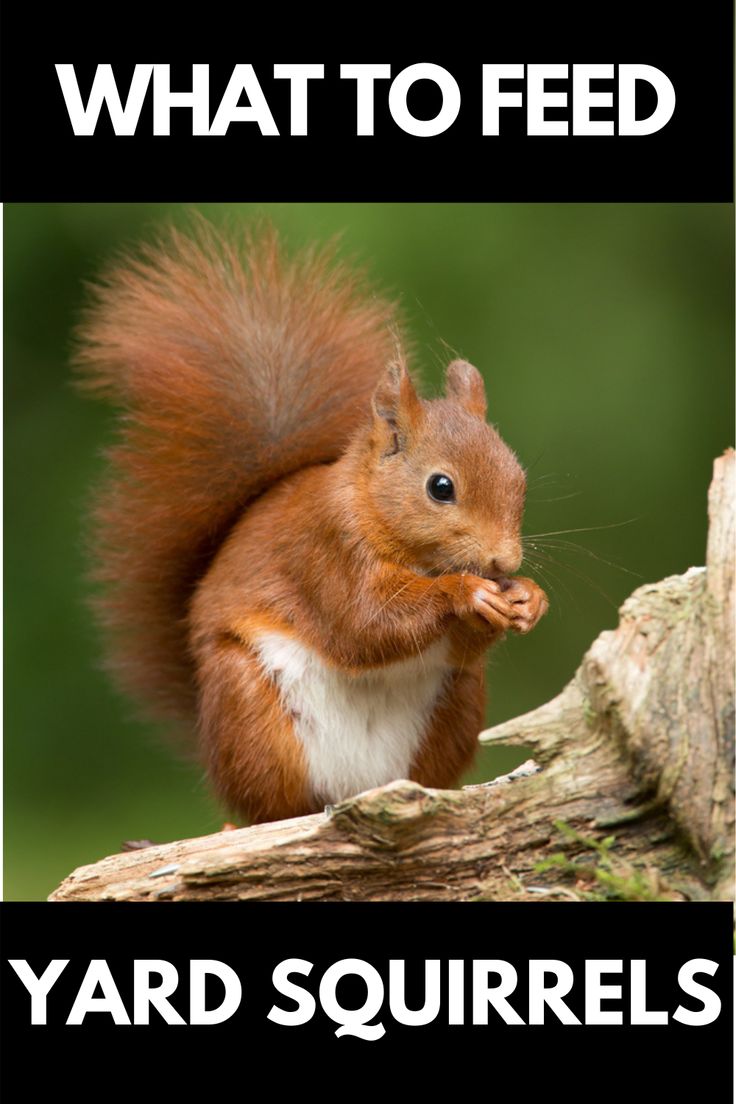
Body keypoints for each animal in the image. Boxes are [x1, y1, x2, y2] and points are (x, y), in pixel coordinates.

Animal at [76, 217, 547, 821]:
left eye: (520, 479)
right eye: (440, 487)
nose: (503, 561)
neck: (374, 510)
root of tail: (353, 788)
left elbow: (453, 644)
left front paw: (529, 597)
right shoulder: (325, 548)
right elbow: (365, 622)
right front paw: (466, 592)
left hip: (456, 706)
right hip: (248, 706)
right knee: (267, 807)